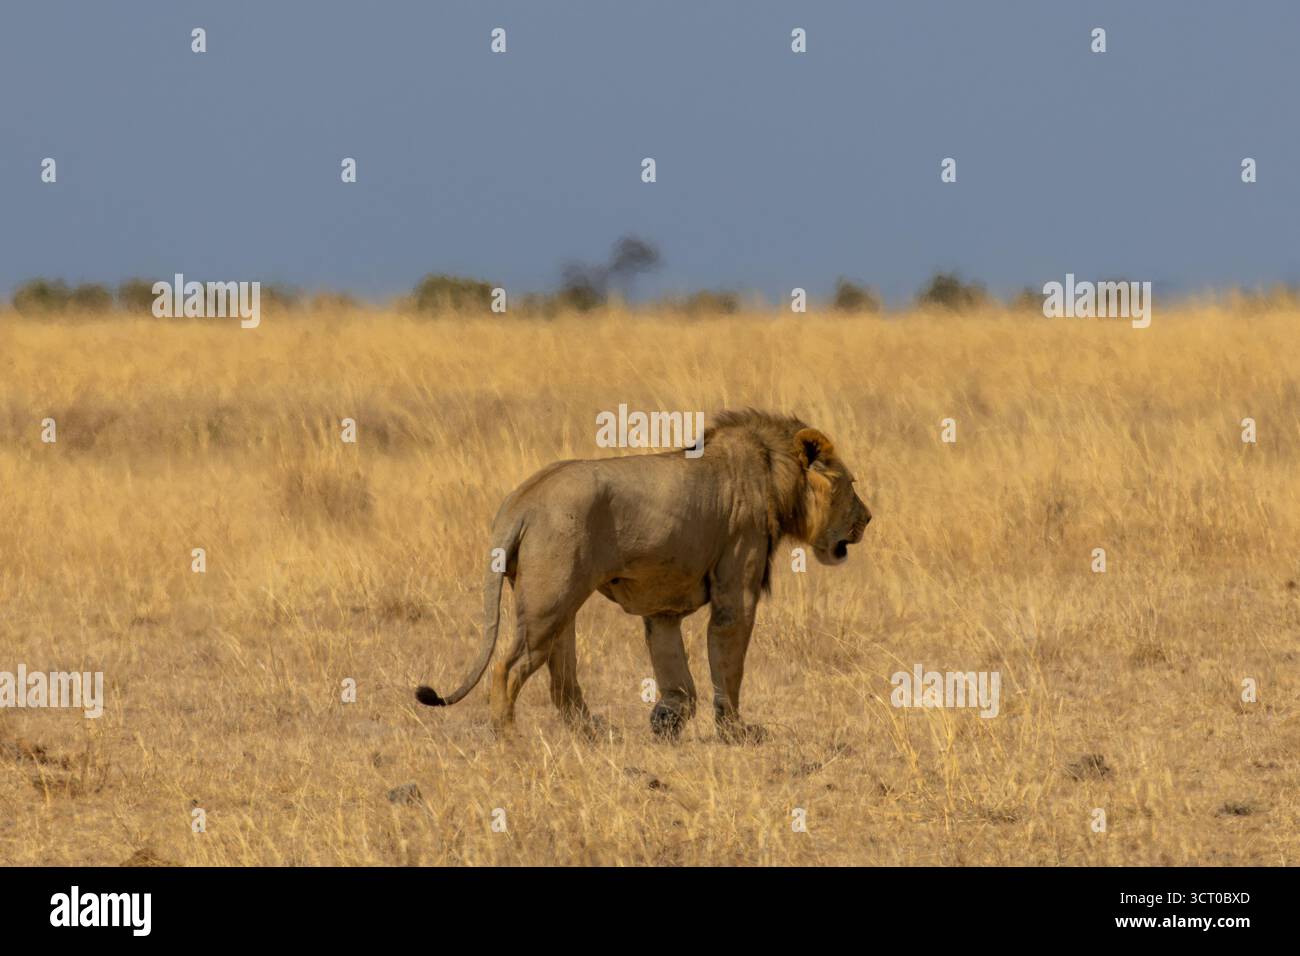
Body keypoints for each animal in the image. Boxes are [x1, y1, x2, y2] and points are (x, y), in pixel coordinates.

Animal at [415, 409, 872, 741]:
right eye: (851, 483)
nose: (868, 519)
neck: (776, 473)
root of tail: (520, 501)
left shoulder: (662, 606)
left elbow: (676, 673)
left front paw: (667, 721)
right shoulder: (736, 590)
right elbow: (728, 667)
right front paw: (737, 731)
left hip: (558, 605)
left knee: (561, 679)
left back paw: (592, 732)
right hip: (549, 602)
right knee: (508, 669)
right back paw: (509, 737)